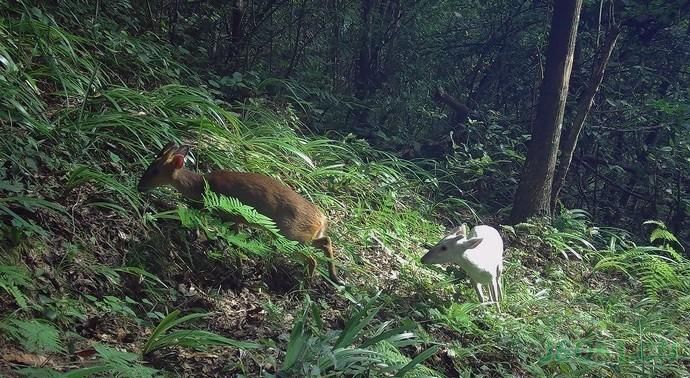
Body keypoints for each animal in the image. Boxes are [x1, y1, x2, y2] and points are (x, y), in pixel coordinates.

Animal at [138, 143, 342, 284]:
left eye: (155, 170)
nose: (139, 186)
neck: (201, 186)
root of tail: (322, 219)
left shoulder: (230, 214)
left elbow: (233, 241)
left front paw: (239, 270)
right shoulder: (231, 217)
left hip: (291, 234)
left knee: (312, 258)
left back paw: (306, 285)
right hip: (299, 235)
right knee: (325, 241)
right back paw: (334, 276)